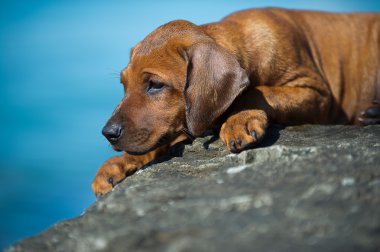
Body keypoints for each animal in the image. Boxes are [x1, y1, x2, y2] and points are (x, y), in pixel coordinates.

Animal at [92, 7, 380, 197]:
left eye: (155, 84)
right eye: (123, 85)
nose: (108, 133)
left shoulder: (318, 94)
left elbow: (256, 91)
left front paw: (237, 121)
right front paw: (118, 164)